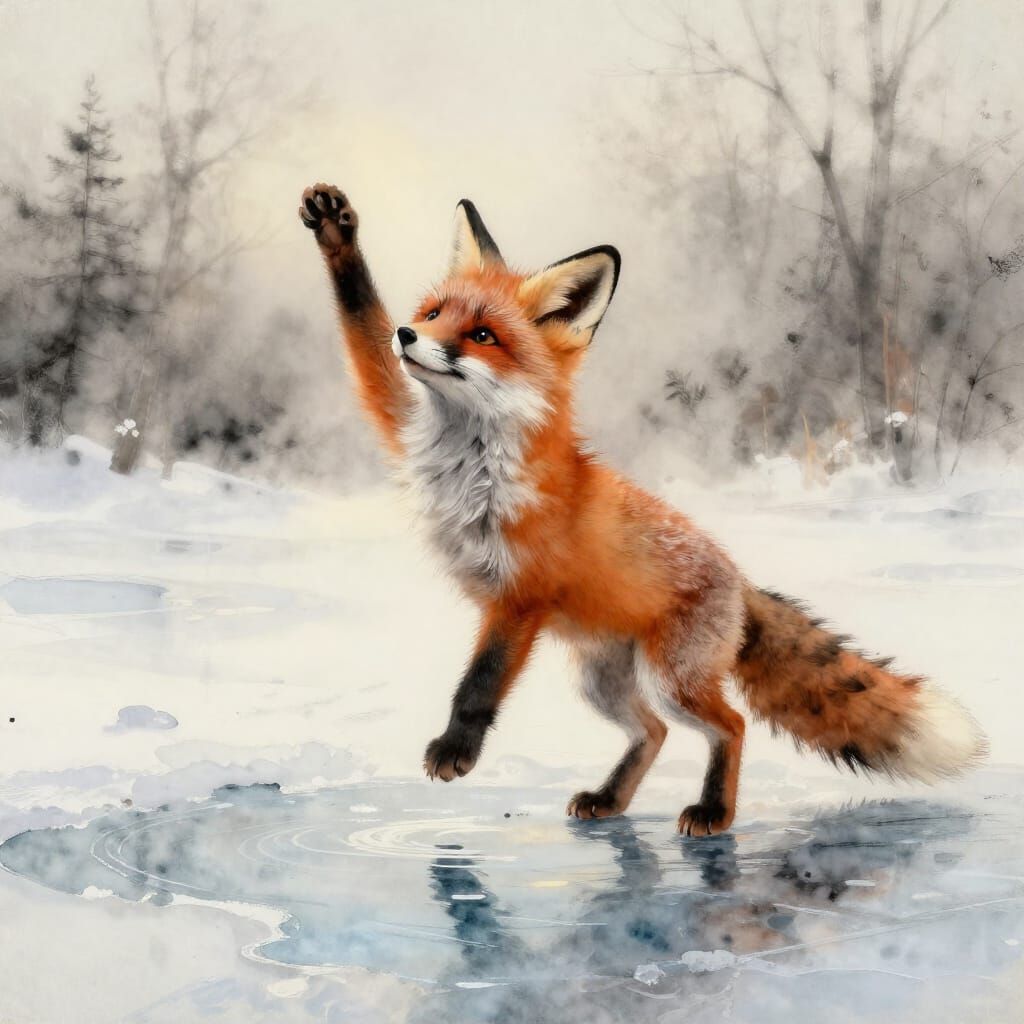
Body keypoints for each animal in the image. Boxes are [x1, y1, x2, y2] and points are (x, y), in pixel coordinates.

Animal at [298, 183, 987, 836]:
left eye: (483, 336)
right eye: (433, 314)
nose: (409, 335)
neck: (465, 456)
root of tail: (740, 581)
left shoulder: (520, 597)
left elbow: (478, 685)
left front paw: (455, 751)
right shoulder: (402, 415)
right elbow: (367, 347)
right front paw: (335, 229)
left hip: (671, 680)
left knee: (730, 724)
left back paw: (713, 811)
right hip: (601, 681)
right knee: (653, 732)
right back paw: (610, 799)